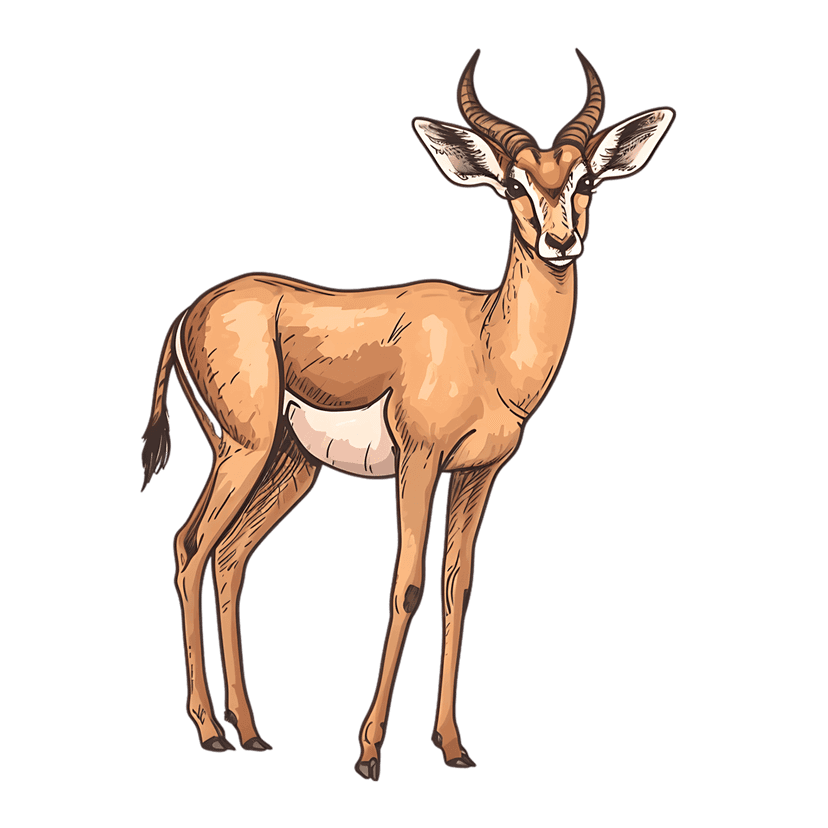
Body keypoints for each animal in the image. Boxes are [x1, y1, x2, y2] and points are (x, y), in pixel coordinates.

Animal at [140, 48, 675, 781]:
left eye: (586, 179)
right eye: (512, 186)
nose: (560, 242)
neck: (486, 342)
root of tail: (188, 313)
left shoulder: (478, 473)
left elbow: (458, 588)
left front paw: (453, 746)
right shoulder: (418, 462)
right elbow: (409, 585)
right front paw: (369, 752)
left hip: (290, 466)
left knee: (230, 555)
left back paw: (249, 730)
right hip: (241, 450)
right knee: (190, 545)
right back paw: (208, 731)